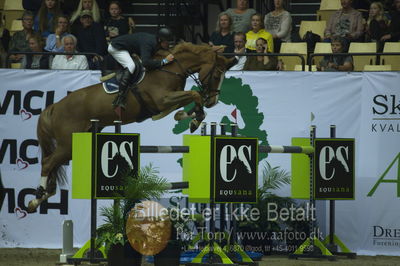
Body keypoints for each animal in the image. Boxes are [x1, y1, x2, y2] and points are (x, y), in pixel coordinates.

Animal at [27, 42, 234, 212]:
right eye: (217, 75)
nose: (213, 102)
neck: (170, 69)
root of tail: (55, 107)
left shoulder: (168, 101)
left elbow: (188, 101)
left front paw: (189, 117)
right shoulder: (162, 100)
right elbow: (194, 94)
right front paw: (194, 119)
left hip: (74, 145)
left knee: (53, 166)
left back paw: (45, 194)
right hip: (67, 144)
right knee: (48, 163)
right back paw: (36, 199)